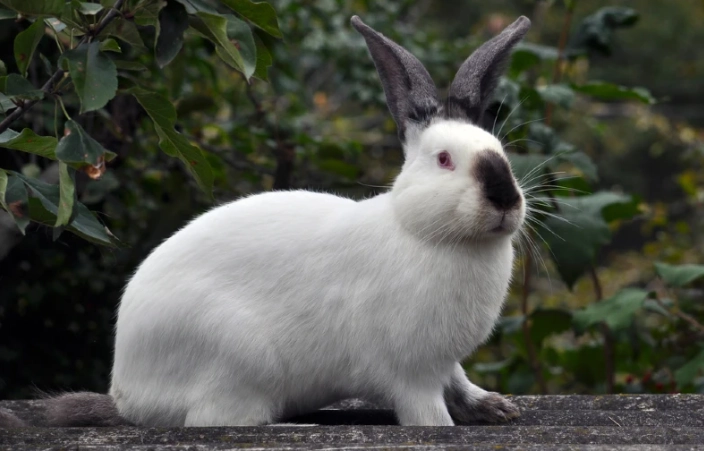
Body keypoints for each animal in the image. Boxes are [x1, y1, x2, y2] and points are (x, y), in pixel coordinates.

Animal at [3, 14, 531, 428]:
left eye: (501, 153)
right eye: (444, 160)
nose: (505, 199)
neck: (423, 231)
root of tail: (127, 396)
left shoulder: (445, 364)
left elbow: (460, 383)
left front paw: (496, 408)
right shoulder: (413, 374)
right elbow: (429, 414)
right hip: (238, 357)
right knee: (212, 420)